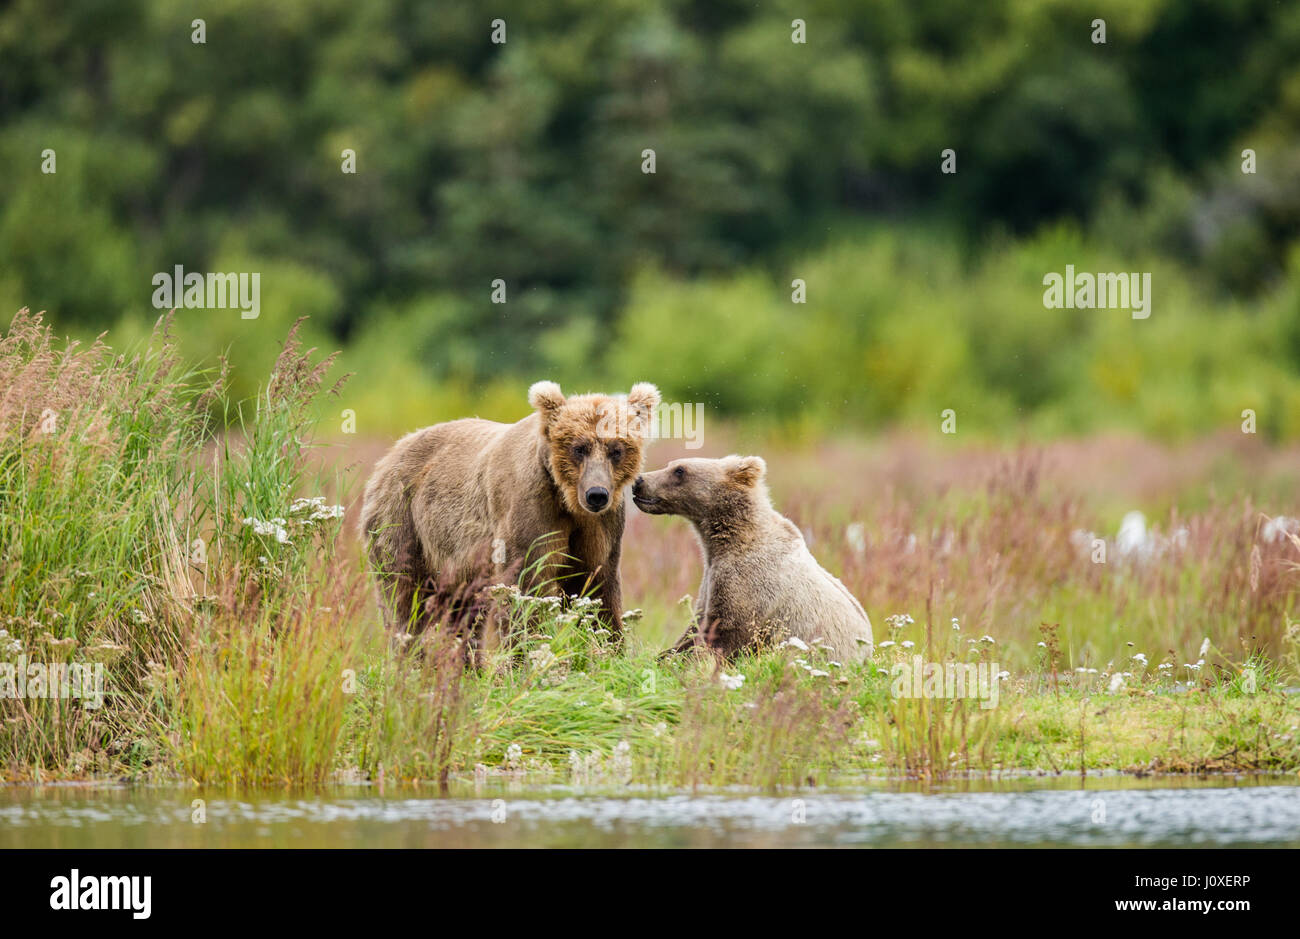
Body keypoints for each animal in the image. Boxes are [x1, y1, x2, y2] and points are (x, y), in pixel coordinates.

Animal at [358, 380, 660, 646]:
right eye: (579, 448)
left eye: (616, 450)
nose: (597, 494)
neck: (566, 500)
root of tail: (390, 454)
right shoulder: (530, 510)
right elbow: (527, 586)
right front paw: (525, 650)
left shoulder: (600, 526)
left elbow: (597, 585)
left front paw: (611, 647)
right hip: (403, 520)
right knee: (405, 597)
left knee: (462, 615)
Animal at [632, 455, 873, 661]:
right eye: (671, 465)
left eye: (680, 470)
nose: (639, 481)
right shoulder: (710, 580)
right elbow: (694, 628)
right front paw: (664, 655)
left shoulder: (750, 582)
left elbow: (725, 631)